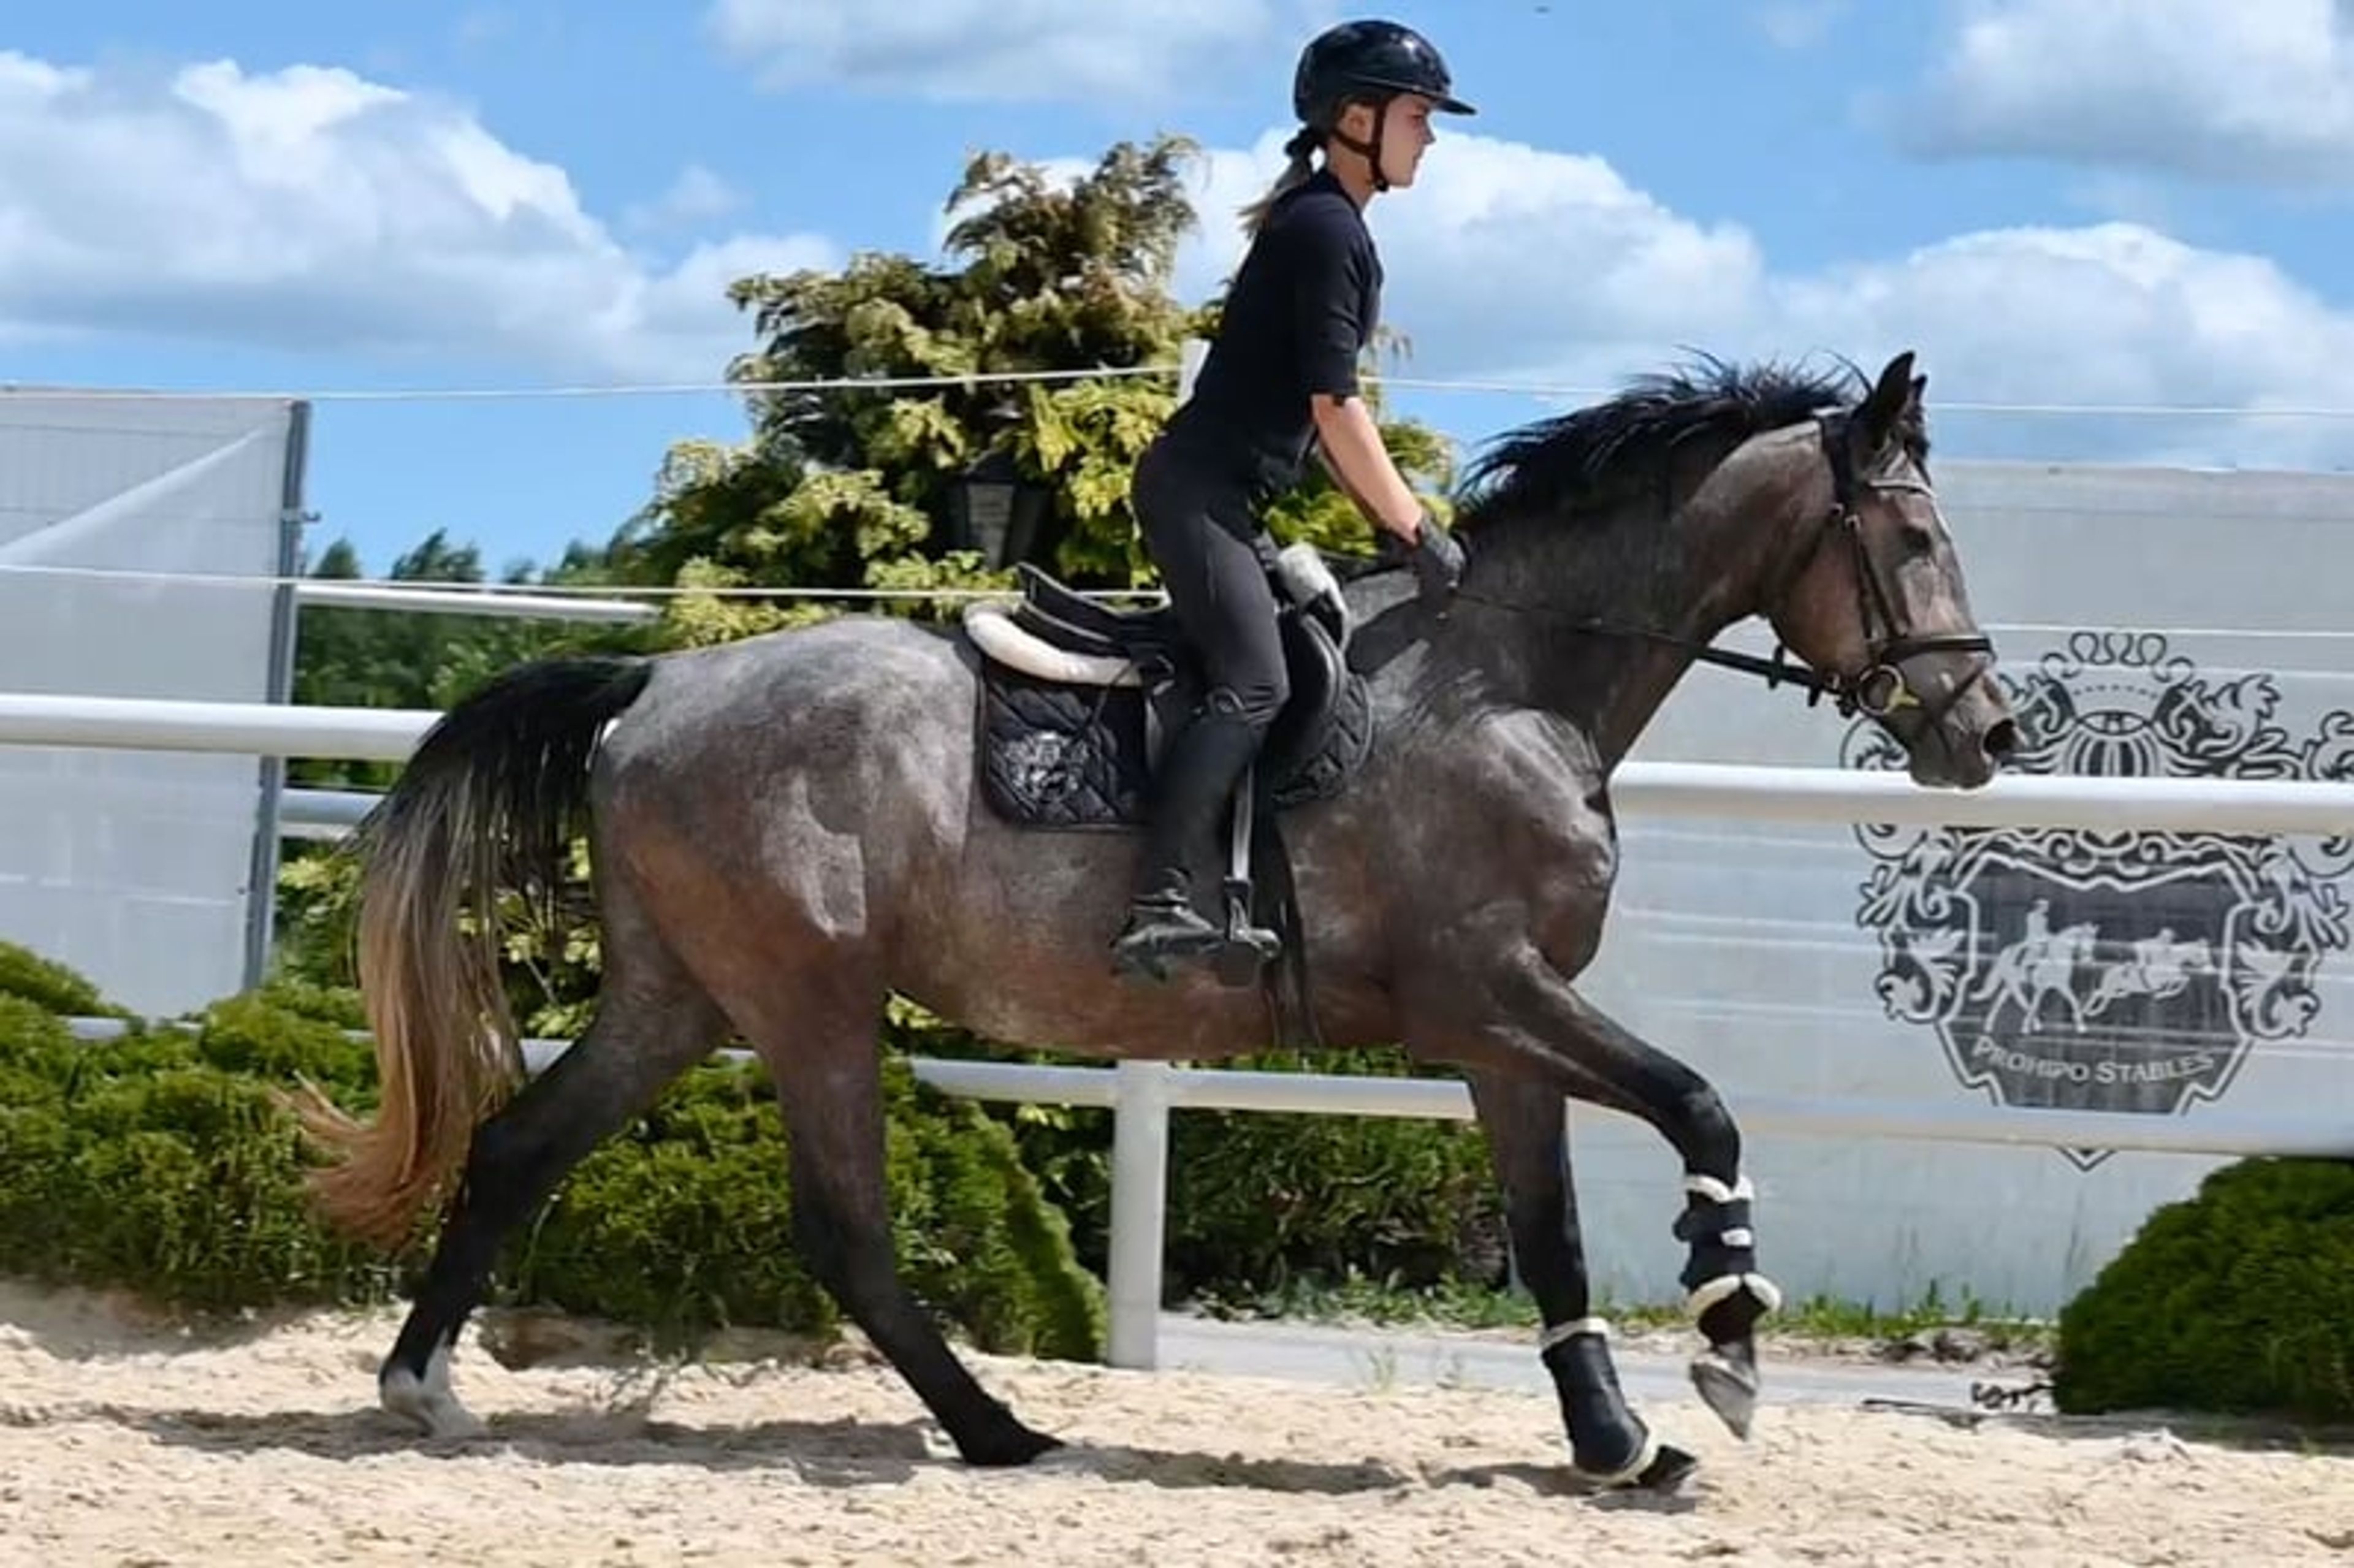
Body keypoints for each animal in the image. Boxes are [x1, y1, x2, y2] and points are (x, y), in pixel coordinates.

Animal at [287, 349, 2018, 1493]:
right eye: (1914, 538)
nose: (1985, 731)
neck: (1512, 677)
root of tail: (653, 686)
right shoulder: (1486, 993)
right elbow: (1697, 1103)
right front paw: (1726, 1344)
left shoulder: (1501, 1031)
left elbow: (1550, 1231)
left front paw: (1611, 1435)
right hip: (807, 1000)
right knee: (840, 1224)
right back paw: (996, 1430)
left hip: (681, 995)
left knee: (522, 1144)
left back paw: (423, 1387)